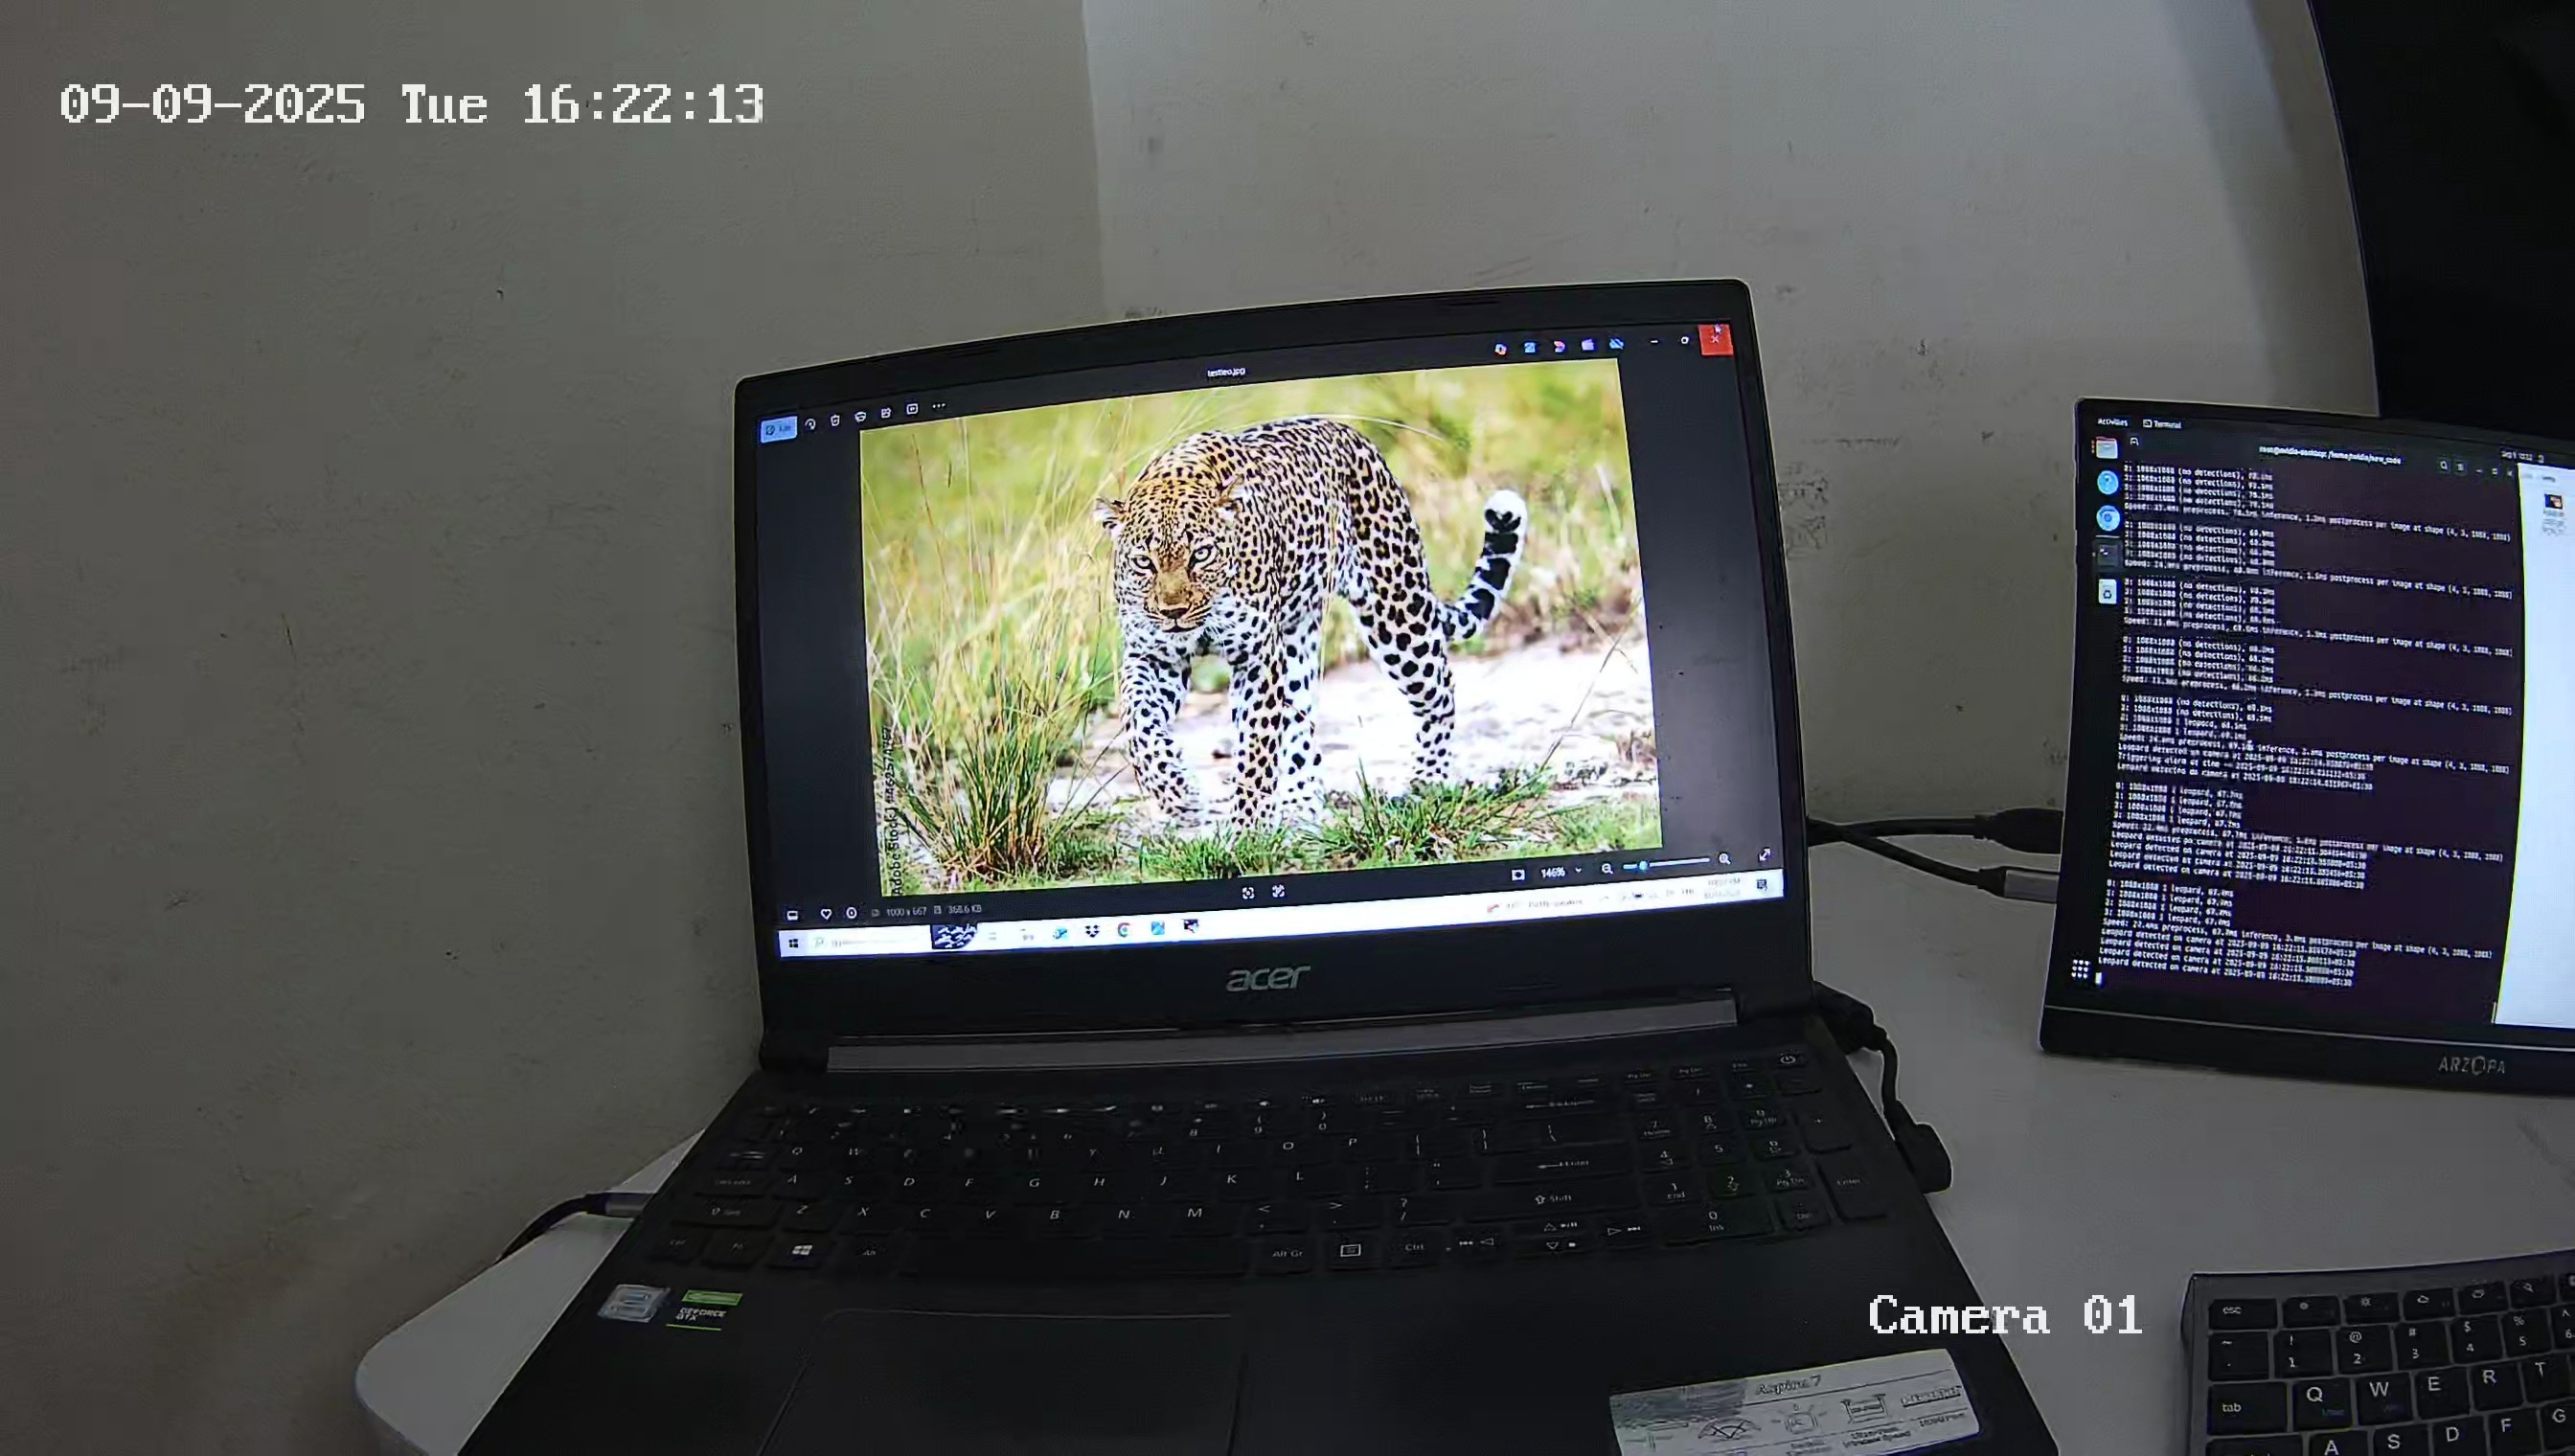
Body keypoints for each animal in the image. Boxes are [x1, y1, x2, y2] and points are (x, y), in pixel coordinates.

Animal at [1093, 416, 1528, 831]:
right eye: (1144, 562)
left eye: (1201, 555)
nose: (1173, 611)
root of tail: (1355, 436)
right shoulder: (1155, 657)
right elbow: (1137, 724)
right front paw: (1179, 797)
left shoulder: (1256, 658)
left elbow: (1256, 748)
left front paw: (1247, 829)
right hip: (1298, 639)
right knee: (1300, 722)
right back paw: (1302, 803)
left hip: (1397, 612)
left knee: (1440, 692)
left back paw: (1428, 781)